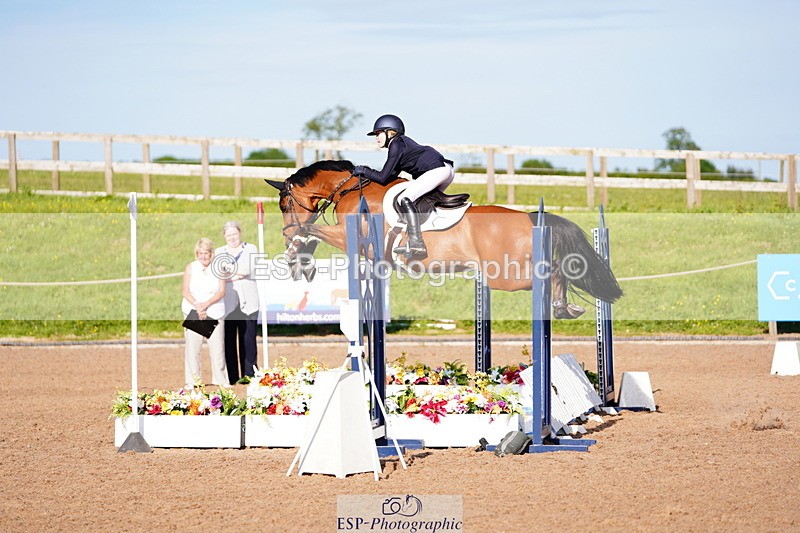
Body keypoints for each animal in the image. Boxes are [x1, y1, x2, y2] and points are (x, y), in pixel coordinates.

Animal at [266, 160, 622, 318]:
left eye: (284, 204)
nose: (283, 234)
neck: (350, 189)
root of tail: (529, 217)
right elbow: (312, 232)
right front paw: (299, 260)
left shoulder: (352, 236)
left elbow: (311, 230)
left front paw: (295, 255)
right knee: (557, 273)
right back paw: (564, 307)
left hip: (508, 276)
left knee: (554, 272)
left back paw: (563, 305)